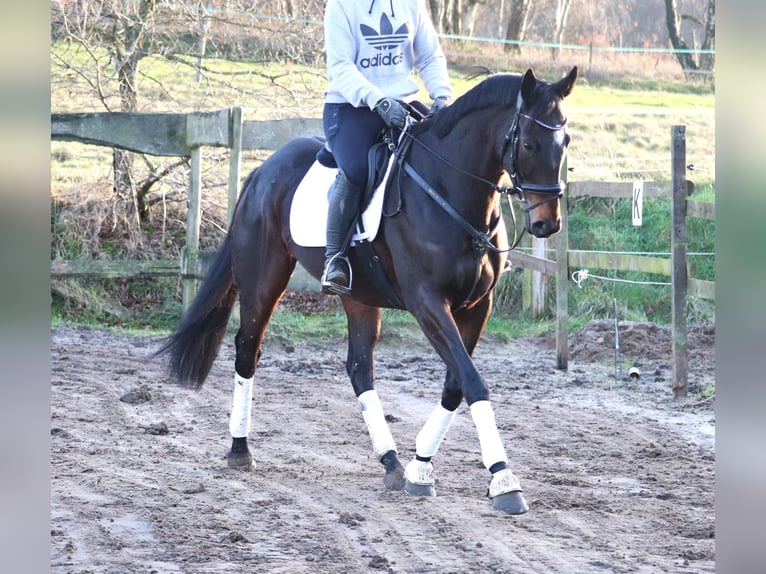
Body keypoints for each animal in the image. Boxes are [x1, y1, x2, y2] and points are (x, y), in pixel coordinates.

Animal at [159, 65, 580, 516]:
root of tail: (262, 171)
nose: (547, 223)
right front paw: (504, 480)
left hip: (358, 296)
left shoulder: (476, 307)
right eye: (529, 142)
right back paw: (239, 449)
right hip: (263, 280)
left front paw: (420, 468)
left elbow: (456, 383)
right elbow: (472, 381)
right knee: (247, 348)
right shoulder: (428, 303)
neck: (450, 191)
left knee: (360, 368)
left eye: (566, 142)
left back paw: (391, 461)